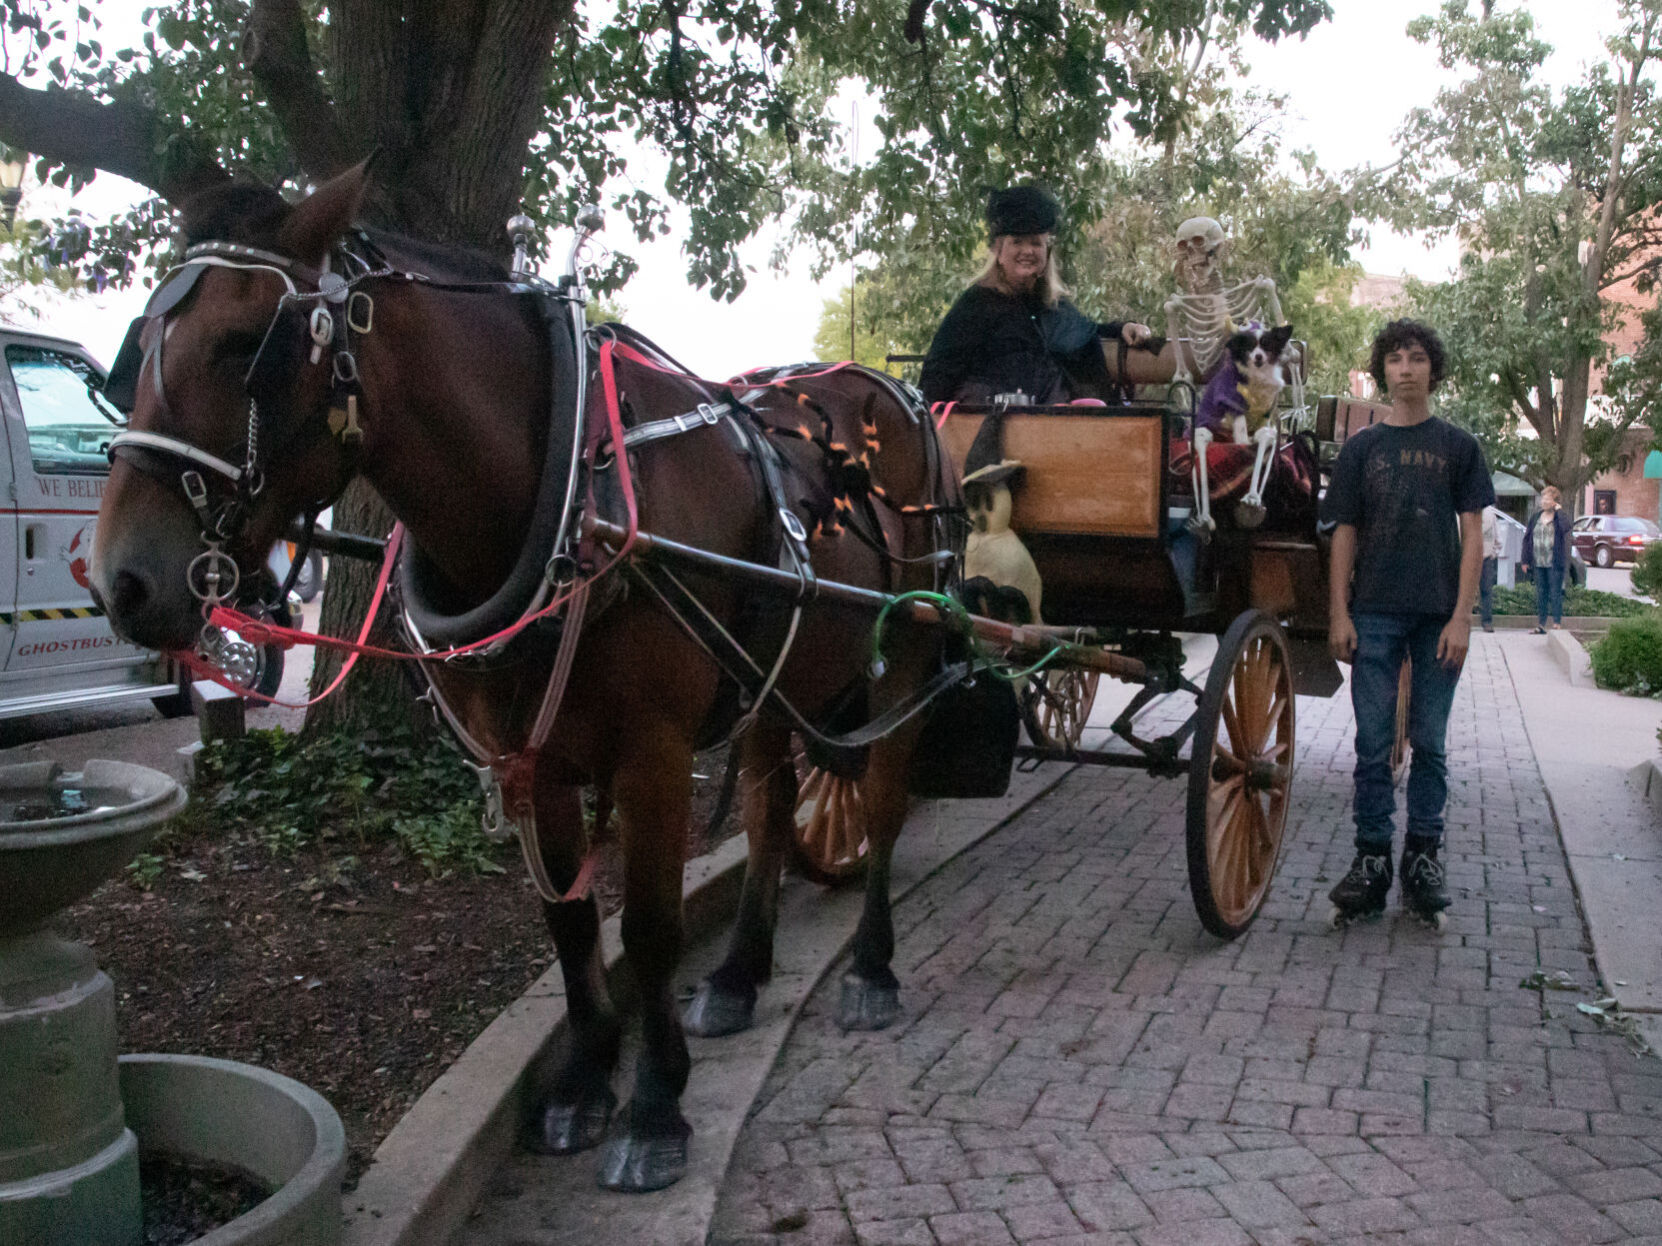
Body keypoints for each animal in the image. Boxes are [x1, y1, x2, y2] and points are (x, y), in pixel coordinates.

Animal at [94, 163, 963, 1189]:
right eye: (137, 348)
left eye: (243, 346)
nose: (122, 580)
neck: (574, 490)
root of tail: (888, 386)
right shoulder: (530, 757)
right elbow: (572, 924)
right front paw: (587, 1080)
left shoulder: (654, 753)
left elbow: (648, 928)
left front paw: (654, 1107)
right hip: (776, 673)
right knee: (769, 803)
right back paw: (741, 974)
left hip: (908, 657)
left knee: (883, 798)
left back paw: (871, 966)